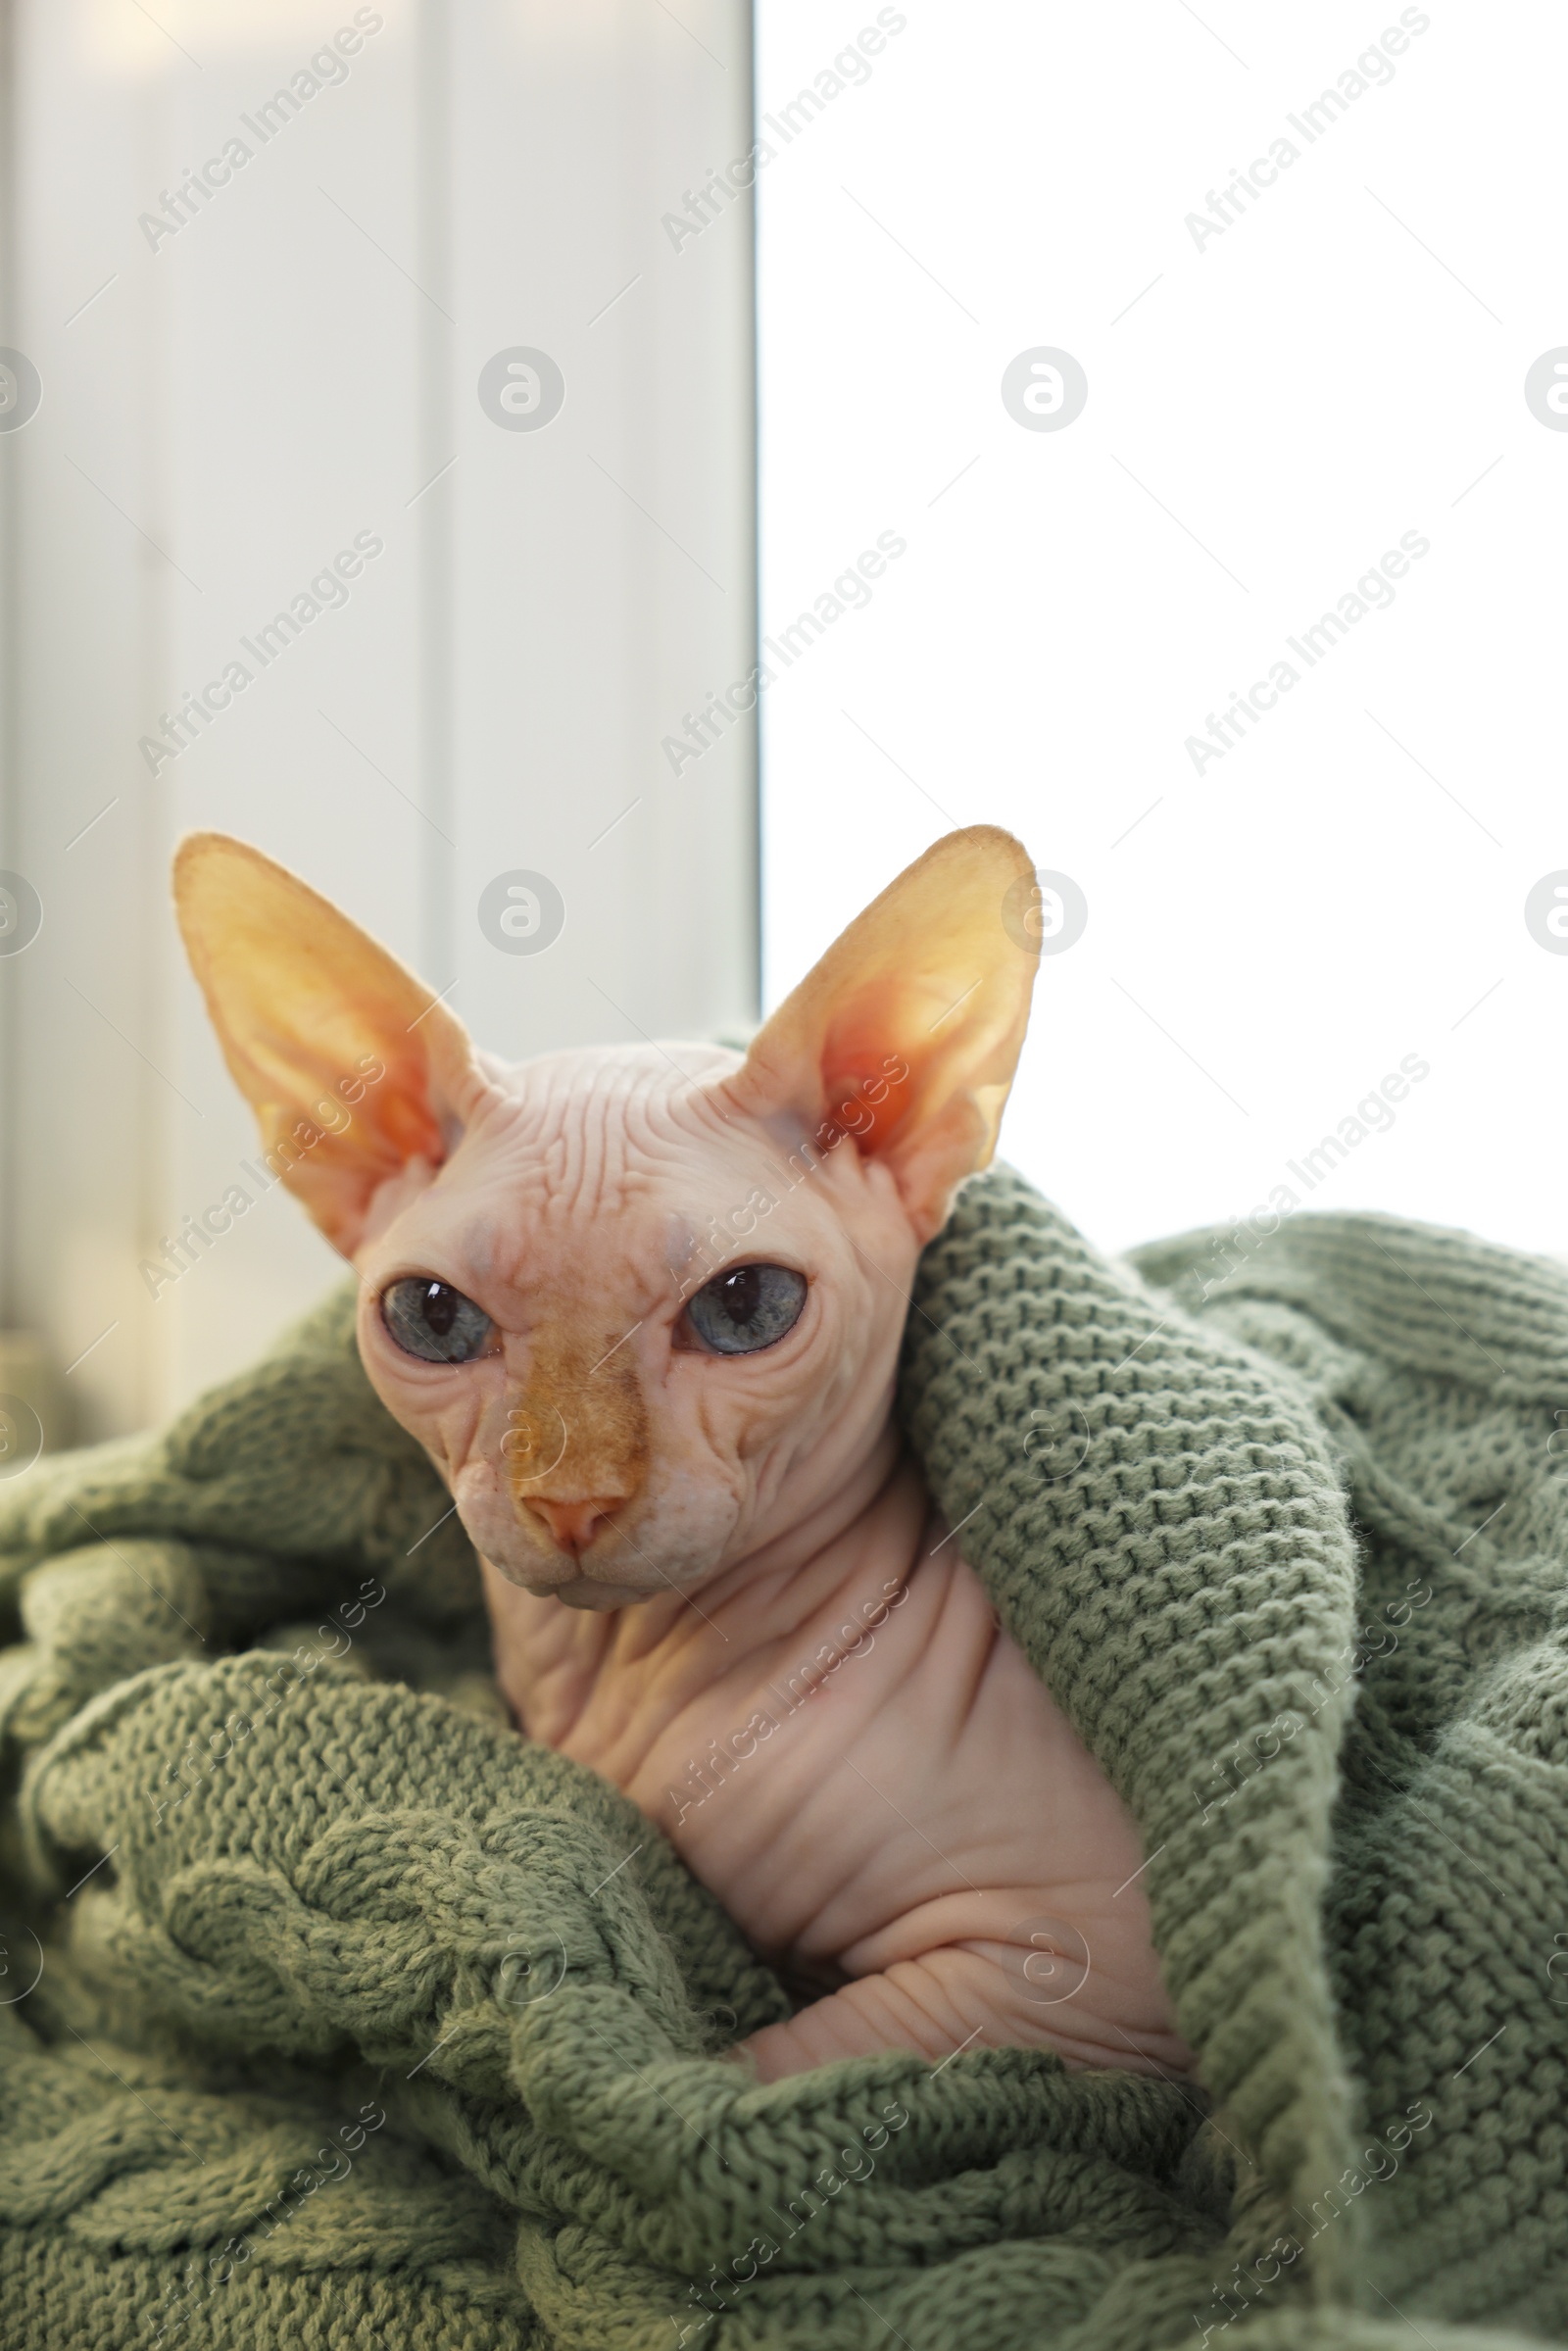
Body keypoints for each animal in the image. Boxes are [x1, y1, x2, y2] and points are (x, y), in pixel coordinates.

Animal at [174, 837, 1189, 2087]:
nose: (569, 1499)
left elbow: (743, 2073)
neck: (627, 1679)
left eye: (745, 1304)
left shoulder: (1077, 1962)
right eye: (431, 1316)